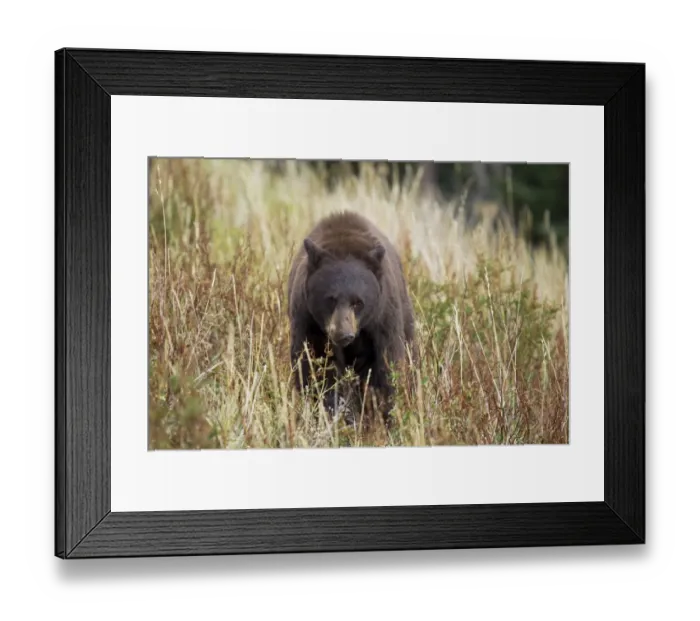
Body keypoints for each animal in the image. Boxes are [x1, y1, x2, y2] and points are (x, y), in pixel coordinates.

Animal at [287, 211, 415, 427]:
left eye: (358, 302)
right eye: (330, 299)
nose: (343, 334)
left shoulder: (382, 320)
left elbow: (387, 366)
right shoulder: (309, 322)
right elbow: (316, 368)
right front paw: (337, 415)